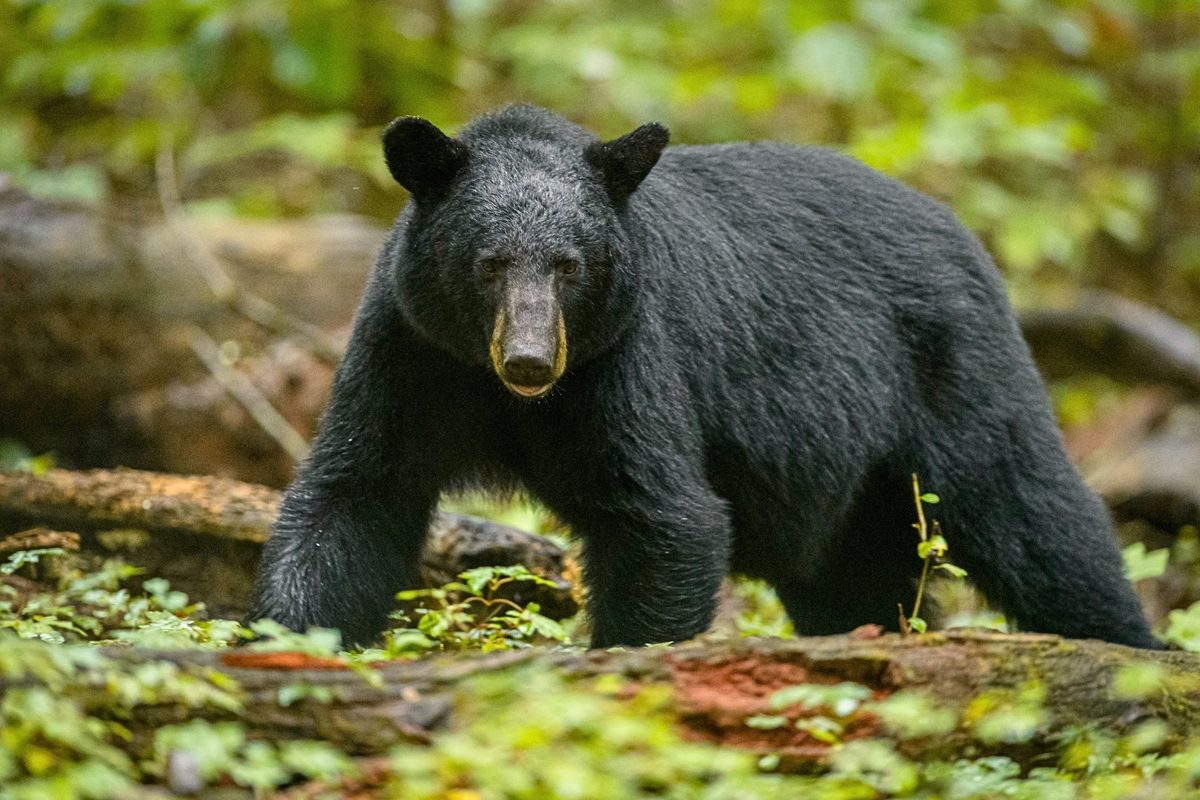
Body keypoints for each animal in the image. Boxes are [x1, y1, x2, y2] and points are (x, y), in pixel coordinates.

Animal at [249, 104, 1158, 650]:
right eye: (489, 262)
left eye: (571, 266)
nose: (531, 361)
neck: (501, 391)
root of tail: (961, 230)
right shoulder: (410, 349)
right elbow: (356, 496)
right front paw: (291, 639)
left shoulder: (626, 360)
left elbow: (664, 518)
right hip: (853, 486)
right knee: (857, 579)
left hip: (952, 370)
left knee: (1035, 516)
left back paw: (1130, 651)